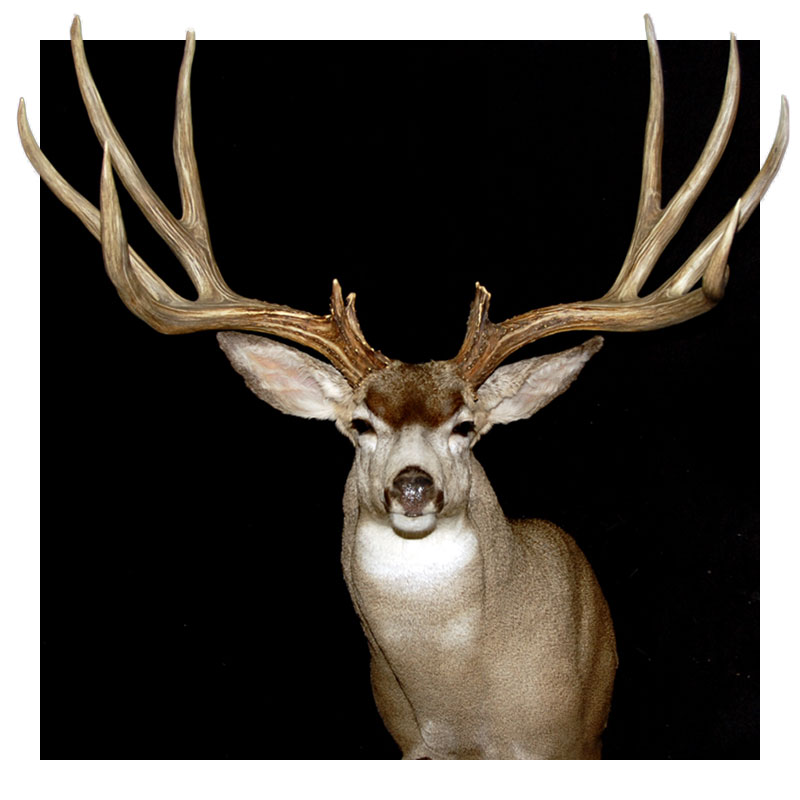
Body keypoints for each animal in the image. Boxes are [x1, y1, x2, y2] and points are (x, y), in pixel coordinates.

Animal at [22, 17, 787, 759]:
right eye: (360, 424)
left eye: (466, 427)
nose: (412, 485)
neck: (466, 717)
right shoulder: (407, 745)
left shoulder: (566, 741)